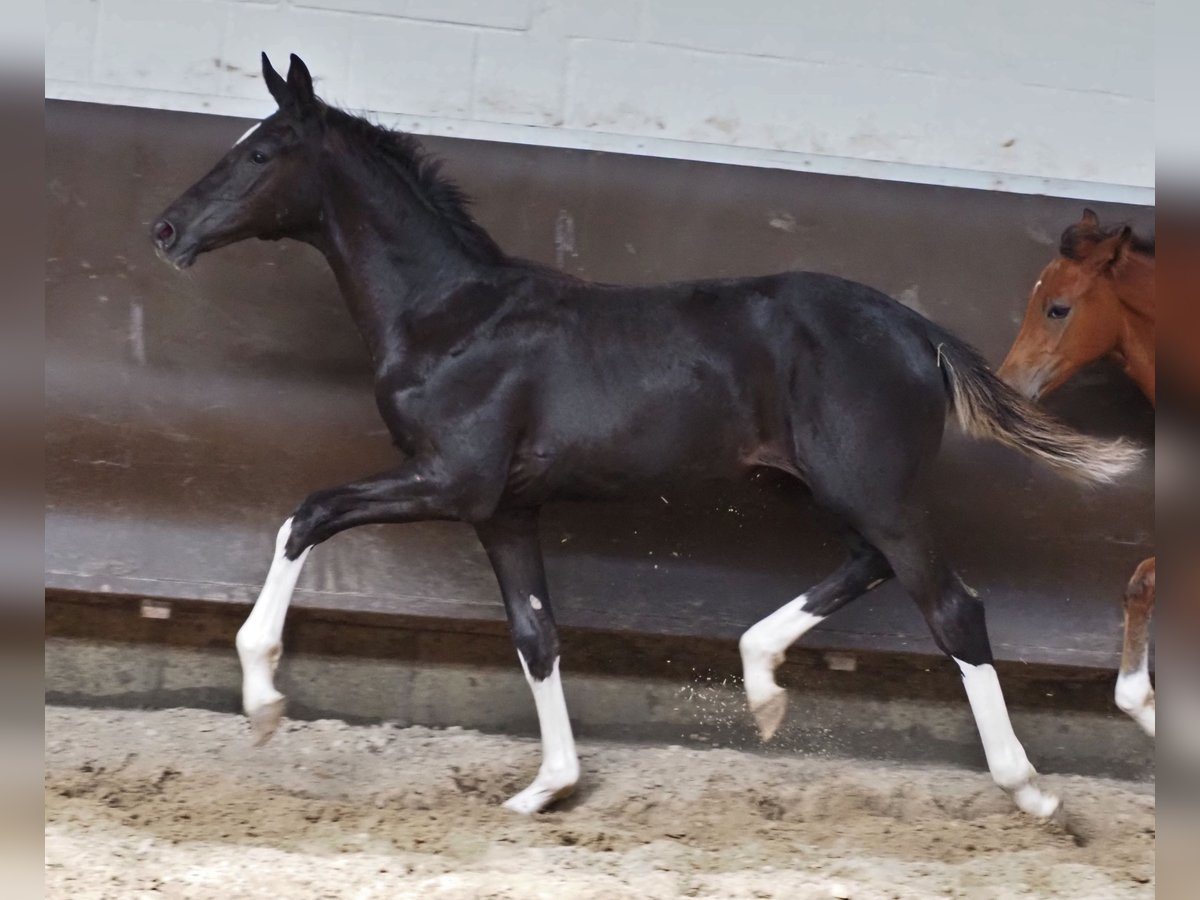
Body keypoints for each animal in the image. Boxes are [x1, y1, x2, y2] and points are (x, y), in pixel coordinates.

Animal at [154, 52, 1137, 820]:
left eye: (262, 152)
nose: (164, 228)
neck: (450, 317)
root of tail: (914, 329)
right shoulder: (504, 510)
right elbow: (536, 633)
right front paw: (548, 786)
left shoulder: (451, 480)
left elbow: (308, 513)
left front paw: (263, 696)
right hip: (823, 487)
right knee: (872, 568)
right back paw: (761, 685)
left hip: (873, 491)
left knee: (953, 607)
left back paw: (1031, 790)